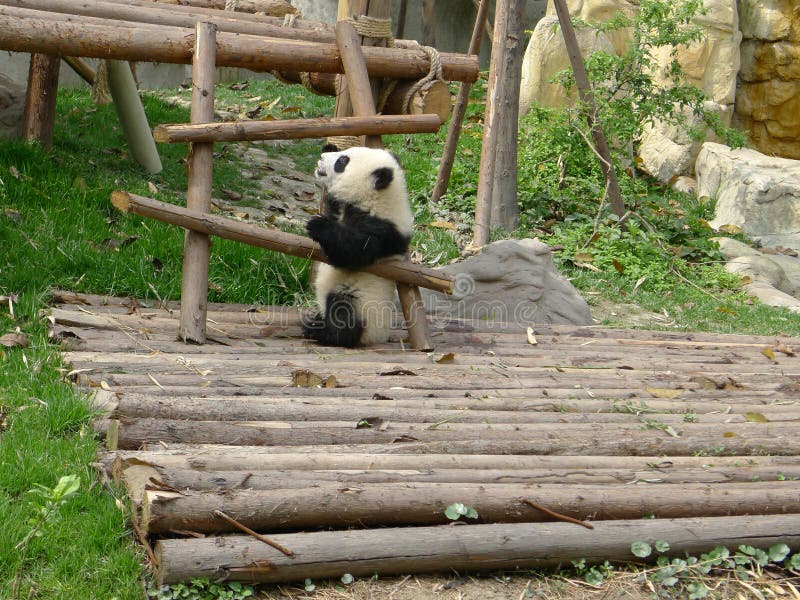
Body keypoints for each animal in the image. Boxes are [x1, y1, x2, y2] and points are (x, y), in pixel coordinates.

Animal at [302, 145, 414, 347]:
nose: (322, 156)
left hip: (361, 299)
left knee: (343, 312)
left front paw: (318, 225)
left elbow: (351, 254)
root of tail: (375, 338)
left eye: (342, 162)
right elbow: (333, 207)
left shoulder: (381, 231)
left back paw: (320, 331)